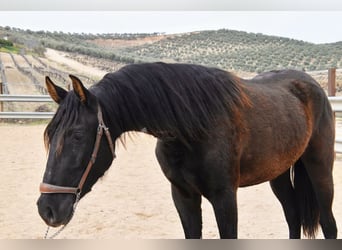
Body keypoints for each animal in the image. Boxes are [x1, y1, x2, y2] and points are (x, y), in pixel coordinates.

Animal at [36, 62, 336, 238]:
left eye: (77, 135)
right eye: (49, 134)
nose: (47, 209)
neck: (192, 126)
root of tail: (313, 87)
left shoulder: (225, 197)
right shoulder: (183, 196)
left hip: (320, 171)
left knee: (329, 224)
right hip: (279, 174)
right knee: (293, 217)